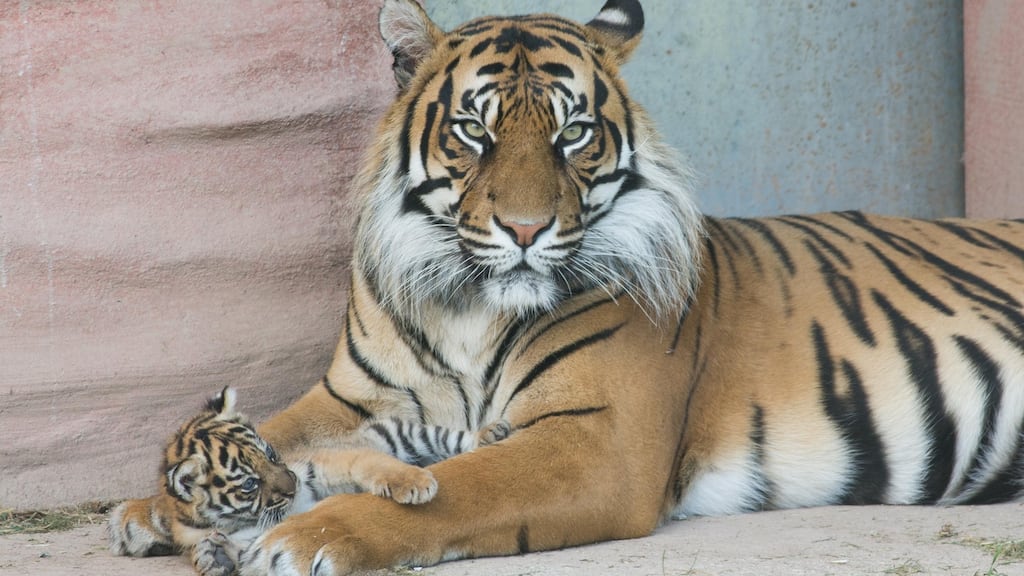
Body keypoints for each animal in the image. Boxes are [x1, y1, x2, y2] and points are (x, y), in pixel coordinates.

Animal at [107, 387, 509, 576]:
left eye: (271, 455)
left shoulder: (331, 462)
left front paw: (413, 482)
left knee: (450, 437)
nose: (293, 485)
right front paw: (214, 555)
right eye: (250, 484)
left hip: (404, 432)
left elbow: (371, 463)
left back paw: (491, 433)